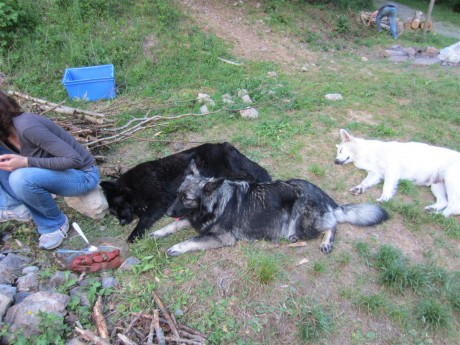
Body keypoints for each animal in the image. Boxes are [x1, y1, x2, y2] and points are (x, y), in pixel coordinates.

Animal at [100, 142, 270, 242]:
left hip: (223, 172)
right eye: (113, 213)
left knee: (248, 176)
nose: (122, 223)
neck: (134, 186)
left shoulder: (159, 199)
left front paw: (134, 234)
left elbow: (144, 218)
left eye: (118, 206)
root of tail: (223, 144)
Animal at [151, 160, 388, 254]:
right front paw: (158, 231)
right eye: (177, 195)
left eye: (187, 198)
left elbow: (192, 239)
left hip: (305, 219)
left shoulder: (222, 237)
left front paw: (176, 247)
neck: (216, 201)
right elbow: (176, 226)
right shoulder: (194, 220)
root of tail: (328, 200)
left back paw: (325, 242)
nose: (168, 212)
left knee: (333, 224)